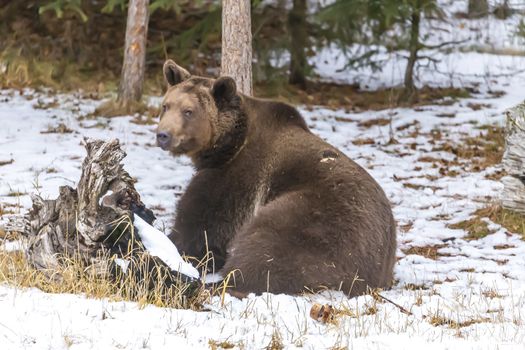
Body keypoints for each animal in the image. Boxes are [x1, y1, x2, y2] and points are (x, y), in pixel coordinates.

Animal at [158, 59, 396, 296]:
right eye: (166, 106)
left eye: (188, 111)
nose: (163, 135)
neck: (228, 145)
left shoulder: (236, 175)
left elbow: (202, 225)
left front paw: (174, 245)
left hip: (320, 219)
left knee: (269, 244)